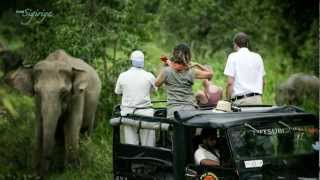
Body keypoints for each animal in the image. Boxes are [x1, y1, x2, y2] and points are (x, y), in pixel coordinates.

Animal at [1, 49, 101, 177]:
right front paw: (34, 174)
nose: (43, 174)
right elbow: (39, 127)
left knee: (86, 129)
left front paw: (71, 172)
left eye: (63, 92)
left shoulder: (77, 96)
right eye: (37, 92)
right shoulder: (38, 102)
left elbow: (72, 125)